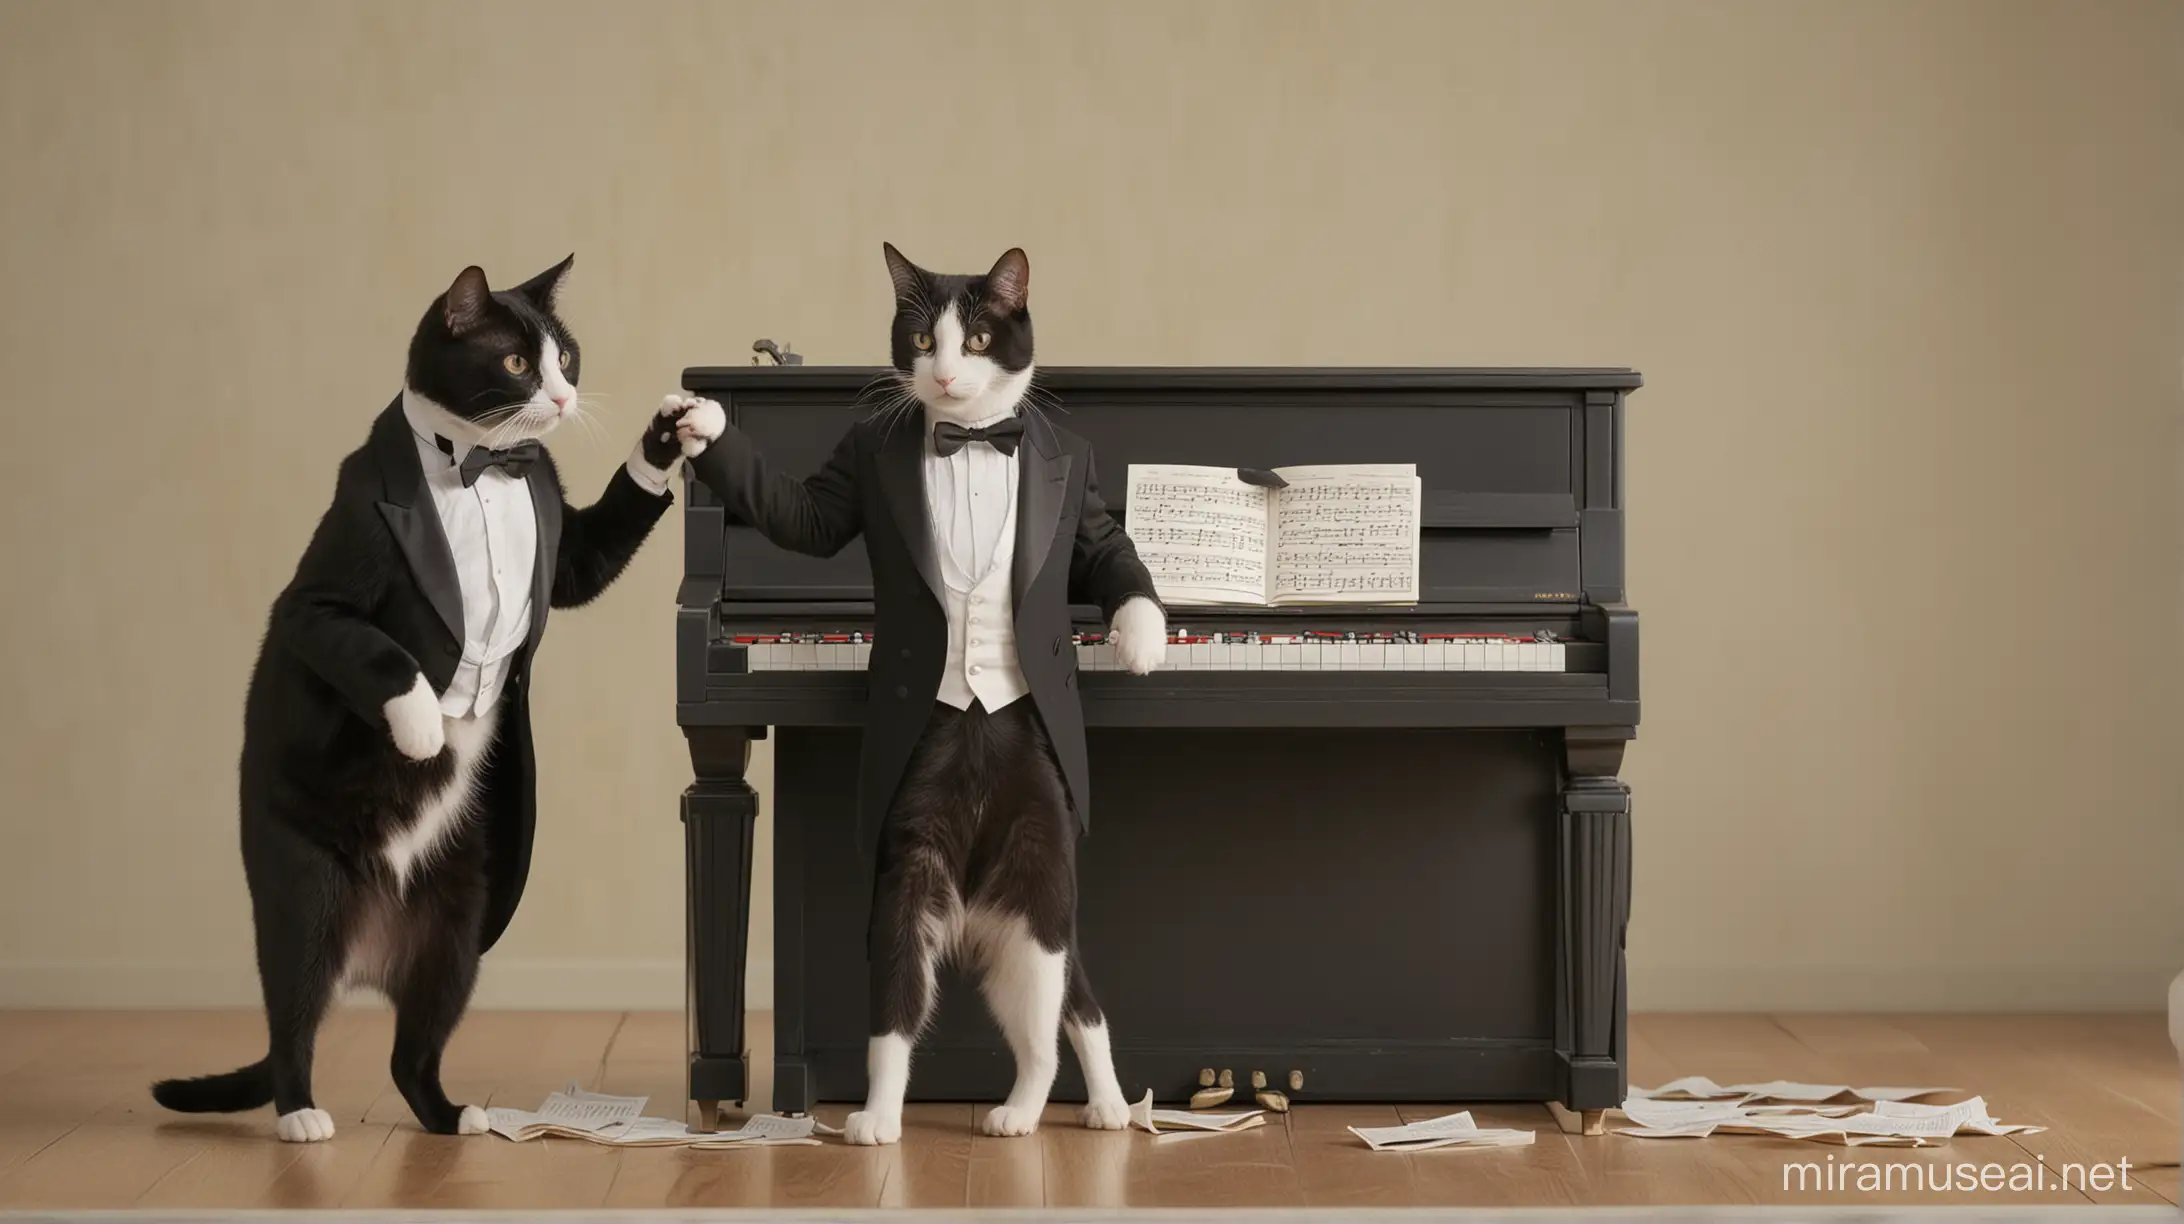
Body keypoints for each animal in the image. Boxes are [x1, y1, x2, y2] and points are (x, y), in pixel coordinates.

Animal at [156, 260, 681, 1145]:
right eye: (516, 363)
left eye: (567, 356)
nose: (564, 397)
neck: (481, 466)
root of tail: (365, 956)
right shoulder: (319, 594)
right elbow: (380, 653)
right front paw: (423, 725)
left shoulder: (563, 547)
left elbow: (594, 548)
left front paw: (674, 435)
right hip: (302, 896)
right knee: (291, 1019)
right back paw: (301, 1116)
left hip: (456, 932)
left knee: (411, 1052)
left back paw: (452, 1115)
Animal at [672, 243, 1170, 1145]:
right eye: (919, 337)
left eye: (973, 338)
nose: (940, 374)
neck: (971, 440)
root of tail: (980, 901)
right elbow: (799, 513)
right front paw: (705, 426)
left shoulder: (1082, 507)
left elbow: (1113, 556)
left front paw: (1143, 637)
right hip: (932, 894)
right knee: (1029, 1016)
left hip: (1040, 911)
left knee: (1055, 1035)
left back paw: (1056, 1111)